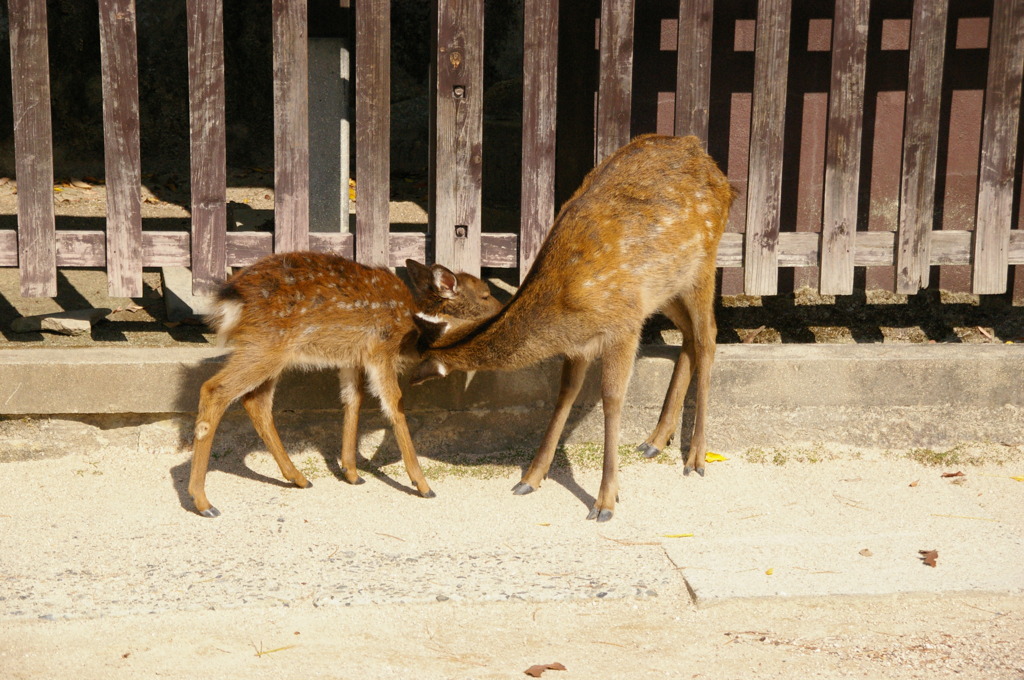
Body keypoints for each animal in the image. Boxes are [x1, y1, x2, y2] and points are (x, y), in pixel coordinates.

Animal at [188, 252, 502, 518]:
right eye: (485, 294)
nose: (503, 312)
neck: (412, 327)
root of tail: (231, 299)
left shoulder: (351, 358)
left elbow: (353, 400)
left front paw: (351, 473)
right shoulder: (380, 350)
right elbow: (394, 405)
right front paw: (422, 485)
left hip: (270, 353)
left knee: (256, 401)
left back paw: (298, 478)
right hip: (265, 346)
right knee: (215, 390)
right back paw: (204, 503)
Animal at [411, 134, 736, 522]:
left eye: (487, 291)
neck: (565, 312)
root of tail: (703, 154)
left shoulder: (624, 324)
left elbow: (612, 399)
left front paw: (605, 502)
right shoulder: (580, 345)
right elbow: (565, 394)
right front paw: (530, 478)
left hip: (703, 262)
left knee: (708, 337)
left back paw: (696, 457)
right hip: (666, 286)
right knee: (689, 335)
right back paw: (655, 441)